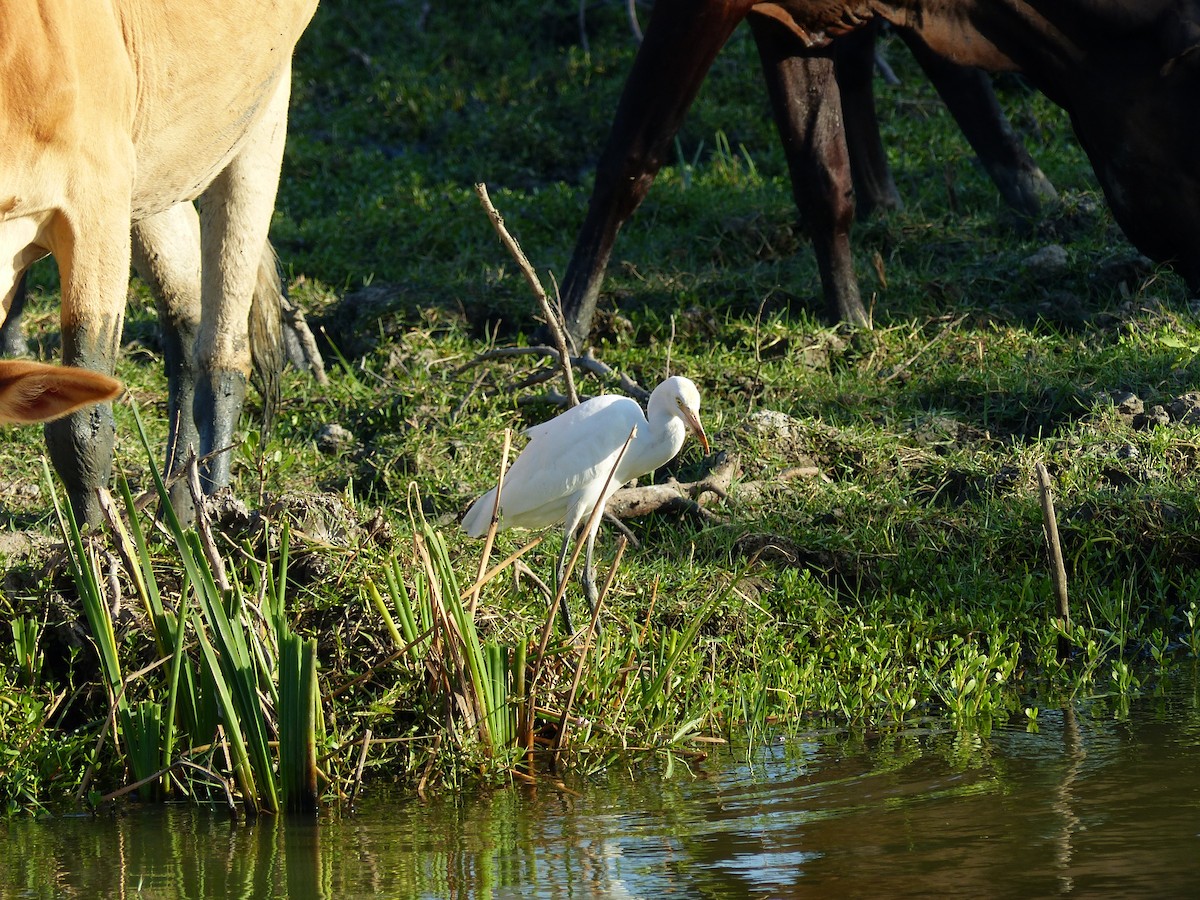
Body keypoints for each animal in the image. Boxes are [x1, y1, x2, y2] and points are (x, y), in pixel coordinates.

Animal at [0, 0, 317, 525]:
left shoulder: (96, 199)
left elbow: (82, 425)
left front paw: (92, 542)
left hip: (260, 103)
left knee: (225, 352)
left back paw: (217, 508)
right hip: (163, 155)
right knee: (185, 314)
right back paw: (182, 503)